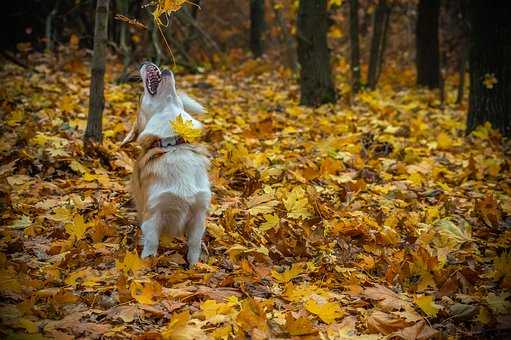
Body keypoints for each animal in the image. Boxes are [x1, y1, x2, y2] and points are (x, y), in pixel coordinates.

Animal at [122, 63, 212, 266]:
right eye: (140, 97)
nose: (145, 62)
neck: (172, 144)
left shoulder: (199, 213)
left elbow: (194, 244)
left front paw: (194, 267)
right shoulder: (153, 213)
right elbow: (152, 243)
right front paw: (147, 264)